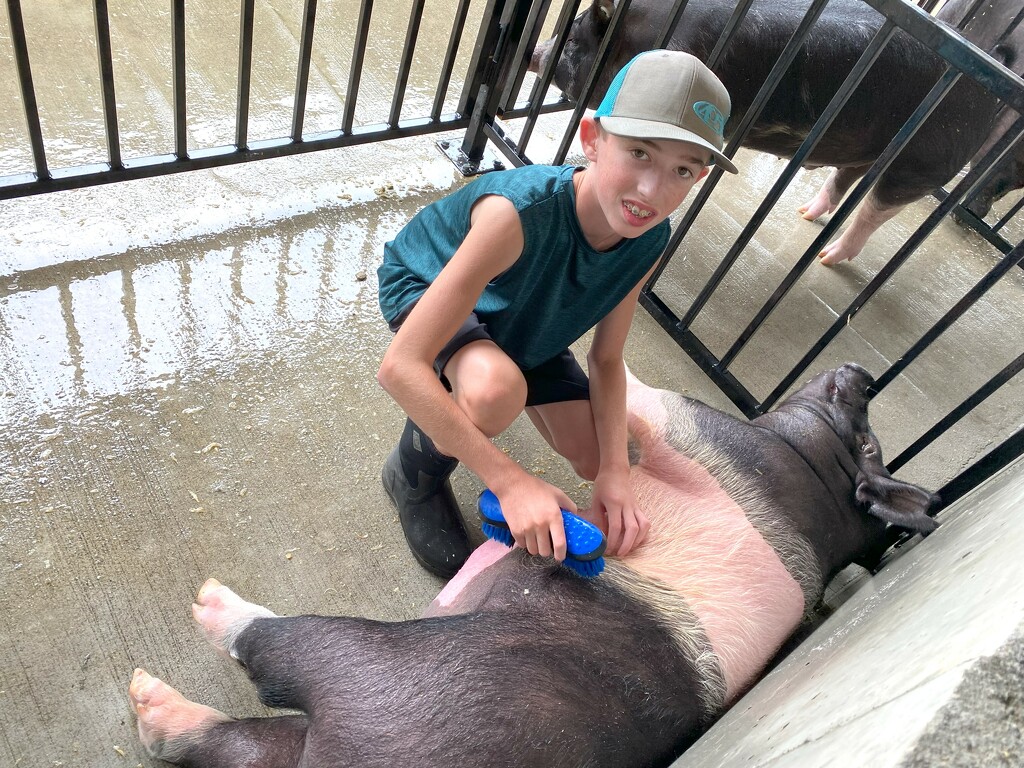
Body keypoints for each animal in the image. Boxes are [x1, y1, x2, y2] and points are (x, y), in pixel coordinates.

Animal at [125, 364, 937, 765]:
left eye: (864, 428)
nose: (863, 371)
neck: (818, 479)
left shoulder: (699, 431)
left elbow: (641, 401)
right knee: (224, 746)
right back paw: (154, 707)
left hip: (371, 670)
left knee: (276, 655)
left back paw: (204, 609)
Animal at [528, 0, 1007, 264]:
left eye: (574, 45)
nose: (536, 53)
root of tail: (991, 101)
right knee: (844, 178)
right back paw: (806, 215)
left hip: (925, 162)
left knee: (876, 208)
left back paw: (827, 258)